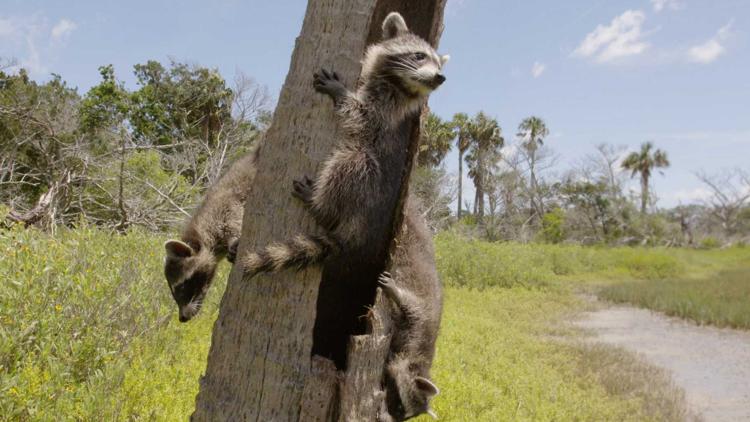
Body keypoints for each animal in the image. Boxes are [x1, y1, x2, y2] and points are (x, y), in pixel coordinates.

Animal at [244, 10, 450, 276]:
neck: (399, 83)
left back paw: (320, 205)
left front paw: (340, 92)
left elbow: (362, 118)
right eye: (419, 56)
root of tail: (358, 226)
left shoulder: (387, 110)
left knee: (352, 161)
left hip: (365, 185)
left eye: (438, 64)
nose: (440, 77)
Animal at [378, 199, 444, 422]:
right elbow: (409, 303)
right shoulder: (421, 318)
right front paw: (396, 291)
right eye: (399, 406)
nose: (384, 419)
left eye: (405, 417)